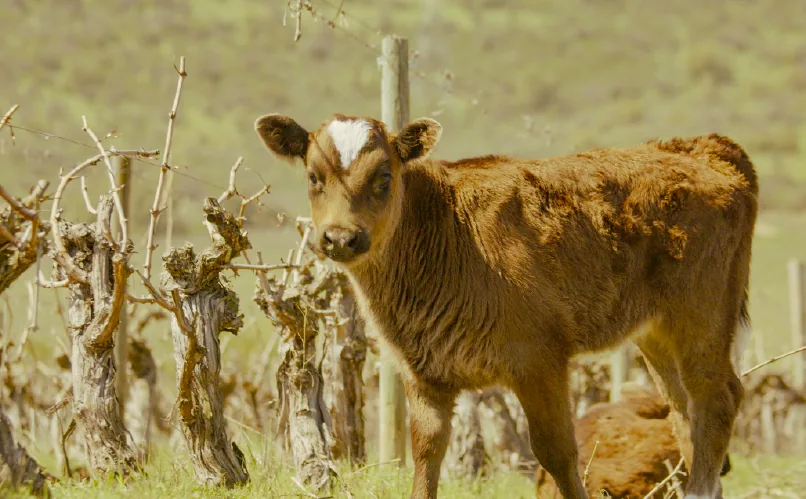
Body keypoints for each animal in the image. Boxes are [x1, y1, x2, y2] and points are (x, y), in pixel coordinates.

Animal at [253, 112, 758, 499]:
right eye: (313, 177)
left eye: (383, 177)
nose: (341, 238)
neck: (444, 228)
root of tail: (701, 147)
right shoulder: (425, 374)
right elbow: (426, 452)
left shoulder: (540, 361)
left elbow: (557, 451)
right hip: (656, 333)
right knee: (684, 412)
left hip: (701, 317)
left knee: (716, 401)